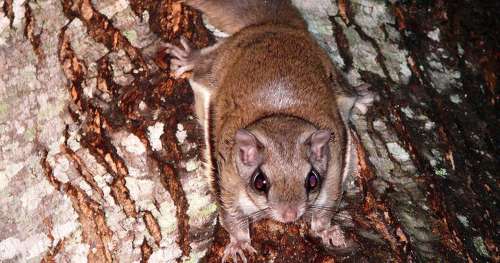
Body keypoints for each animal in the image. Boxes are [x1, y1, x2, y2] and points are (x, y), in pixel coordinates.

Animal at [165, 0, 376, 262]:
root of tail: (274, 26)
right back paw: (190, 57)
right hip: (217, 63)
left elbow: (325, 210)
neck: (279, 115)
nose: (290, 215)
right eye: (260, 182)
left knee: (347, 92)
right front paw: (239, 244)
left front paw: (326, 231)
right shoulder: (228, 179)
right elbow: (232, 217)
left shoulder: (334, 172)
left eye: (312, 180)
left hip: (334, 77)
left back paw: (361, 96)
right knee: (204, 65)